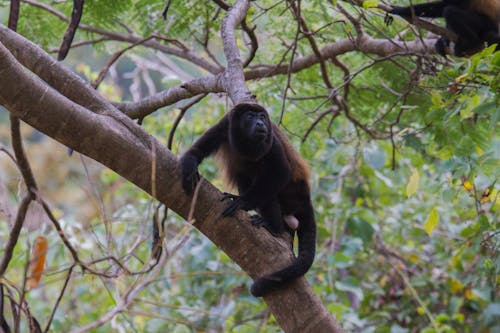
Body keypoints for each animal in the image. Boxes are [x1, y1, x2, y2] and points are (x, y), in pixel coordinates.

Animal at [180, 102, 316, 294]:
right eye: (250, 116)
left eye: (262, 117)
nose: (260, 123)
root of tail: (306, 197)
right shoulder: (224, 125)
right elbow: (197, 149)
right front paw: (189, 167)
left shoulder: (271, 140)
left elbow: (281, 172)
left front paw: (242, 201)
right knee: (245, 176)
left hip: (293, 194)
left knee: (268, 185)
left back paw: (274, 226)